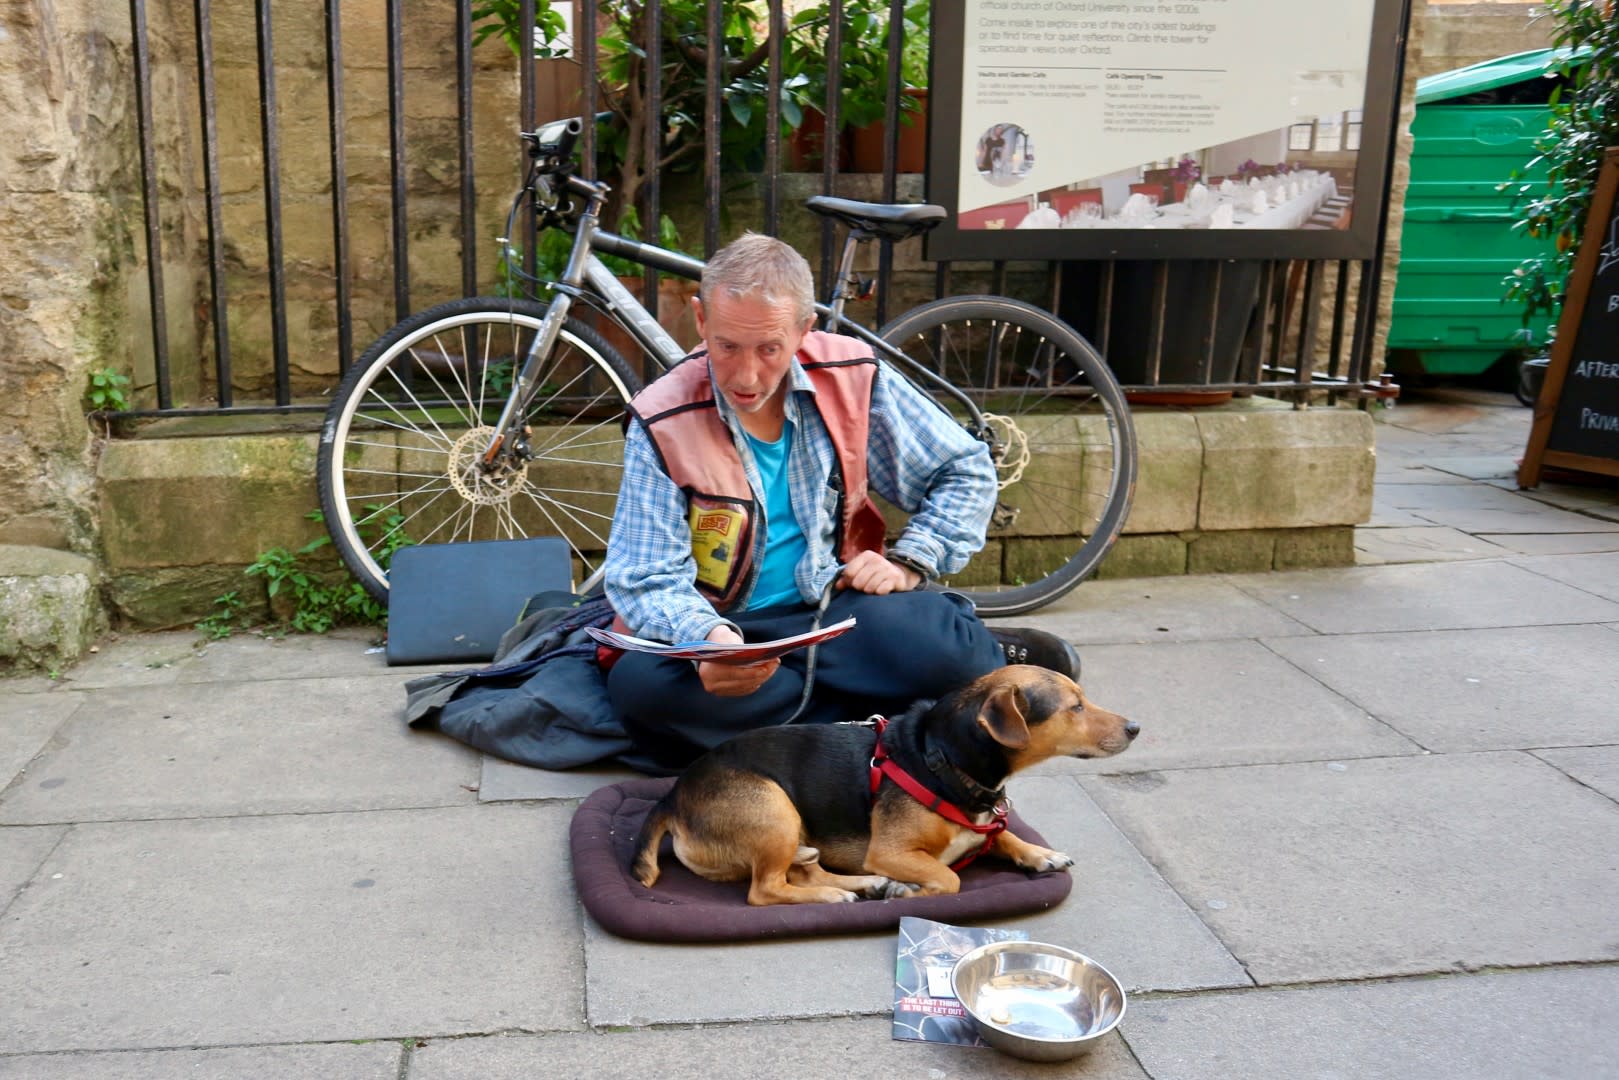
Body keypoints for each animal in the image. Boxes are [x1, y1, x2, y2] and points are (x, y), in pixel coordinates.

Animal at [631, 667, 1139, 906]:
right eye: (1075, 707)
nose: (1135, 727)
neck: (941, 758)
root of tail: (672, 797)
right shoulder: (892, 851)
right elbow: (950, 878)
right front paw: (912, 893)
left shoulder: (984, 824)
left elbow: (1003, 833)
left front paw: (1038, 853)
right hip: (774, 809)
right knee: (766, 889)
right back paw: (841, 894)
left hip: (792, 830)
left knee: (802, 871)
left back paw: (866, 885)